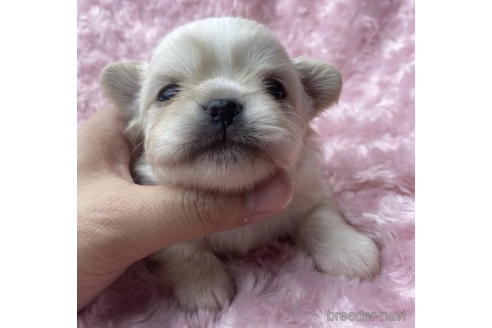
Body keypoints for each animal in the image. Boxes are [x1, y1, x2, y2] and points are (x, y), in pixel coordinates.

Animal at [99, 16, 376, 312]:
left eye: (276, 89)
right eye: (168, 93)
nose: (222, 106)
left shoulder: (309, 190)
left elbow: (322, 218)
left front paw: (351, 251)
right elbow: (183, 247)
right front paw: (204, 286)